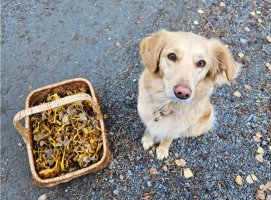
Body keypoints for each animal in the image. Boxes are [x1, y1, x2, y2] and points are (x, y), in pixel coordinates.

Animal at [138, 29, 242, 159]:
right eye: (172, 56)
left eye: (201, 63)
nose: (182, 93)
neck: (166, 107)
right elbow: (149, 129)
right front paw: (147, 139)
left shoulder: (176, 129)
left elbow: (167, 138)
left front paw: (162, 150)